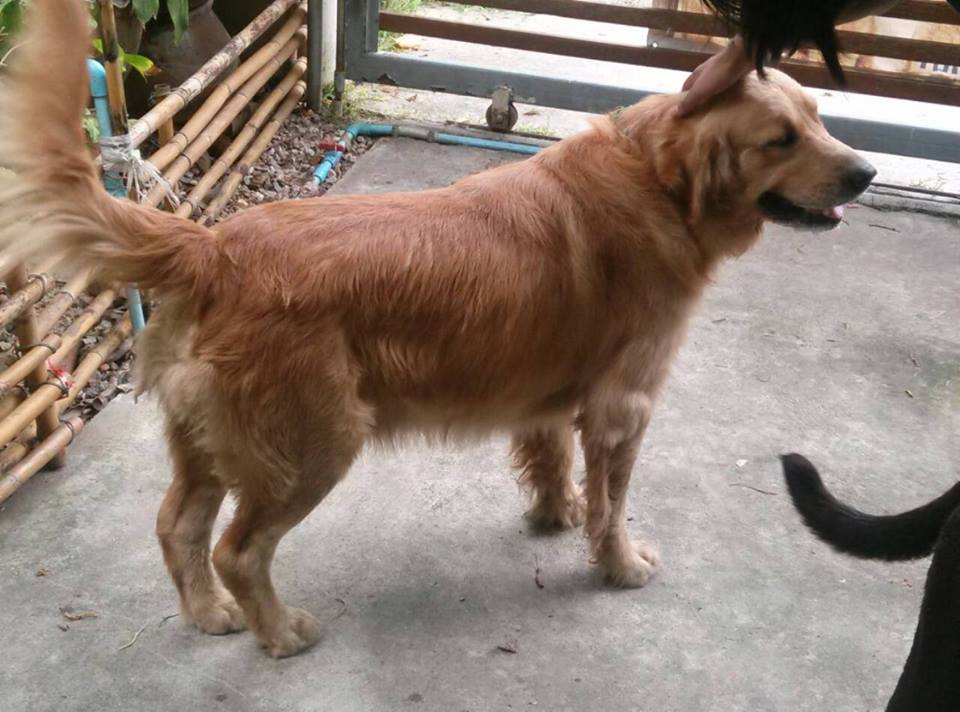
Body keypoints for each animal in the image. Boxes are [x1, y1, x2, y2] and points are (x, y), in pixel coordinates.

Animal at [0, 0, 875, 658]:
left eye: (820, 118)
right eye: (781, 139)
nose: (865, 173)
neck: (657, 178)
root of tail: (214, 247)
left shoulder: (548, 390)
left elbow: (552, 461)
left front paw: (554, 514)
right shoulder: (623, 406)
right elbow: (613, 503)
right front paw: (620, 563)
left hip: (210, 440)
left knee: (178, 527)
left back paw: (212, 613)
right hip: (312, 446)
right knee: (237, 548)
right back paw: (278, 631)